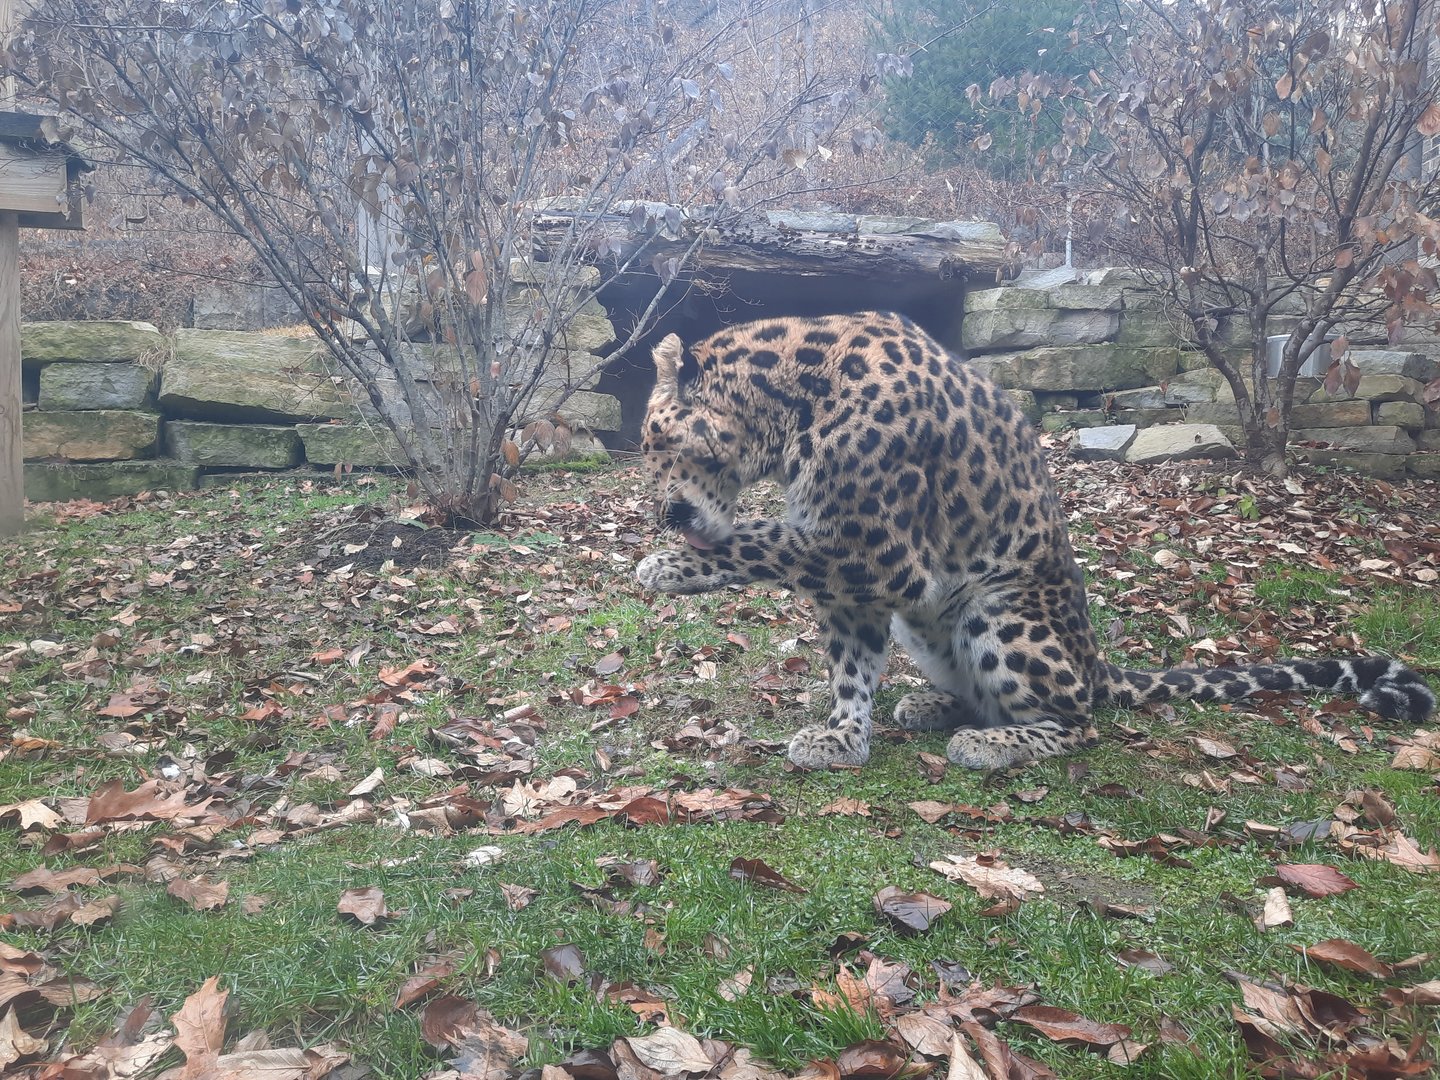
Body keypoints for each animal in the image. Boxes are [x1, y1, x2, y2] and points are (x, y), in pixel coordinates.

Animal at [634, 311, 1436, 771]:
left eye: (654, 444)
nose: (670, 516)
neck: (788, 404)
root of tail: (1097, 662)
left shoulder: (879, 555)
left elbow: (760, 539)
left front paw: (667, 565)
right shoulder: (859, 585)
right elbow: (851, 669)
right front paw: (841, 736)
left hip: (1001, 612)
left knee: (1078, 722)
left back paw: (992, 745)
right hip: (930, 625)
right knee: (986, 694)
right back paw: (934, 707)